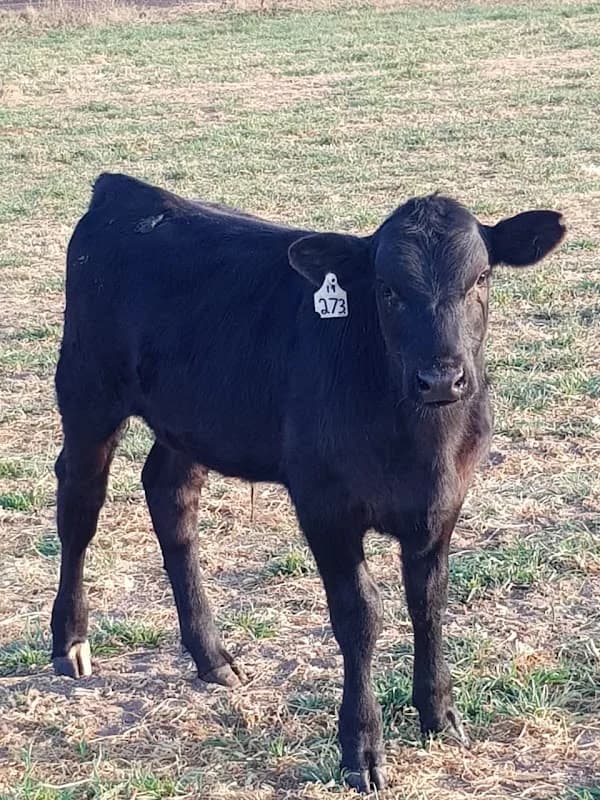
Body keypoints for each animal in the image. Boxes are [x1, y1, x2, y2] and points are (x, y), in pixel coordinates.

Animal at [52, 173, 565, 793]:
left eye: (481, 278)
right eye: (387, 289)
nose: (441, 378)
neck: (422, 445)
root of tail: (125, 190)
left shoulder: (444, 504)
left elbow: (429, 600)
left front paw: (440, 714)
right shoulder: (324, 505)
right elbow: (359, 615)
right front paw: (361, 747)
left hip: (189, 421)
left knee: (170, 498)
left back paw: (212, 655)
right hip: (87, 390)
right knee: (79, 504)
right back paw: (70, 642)